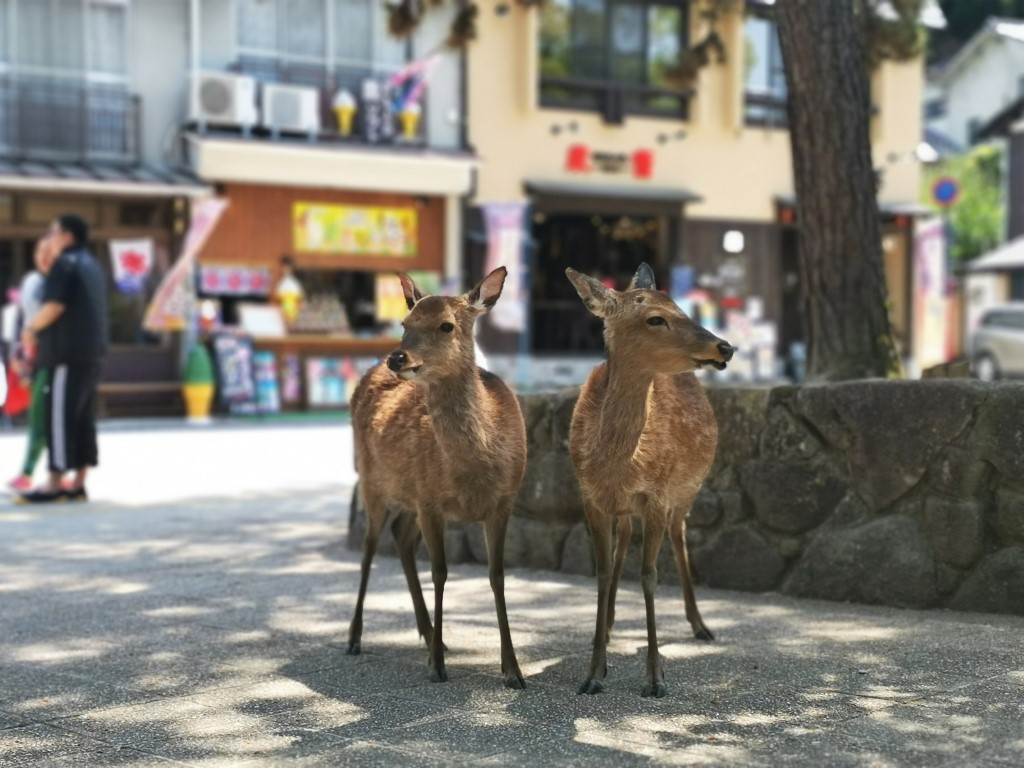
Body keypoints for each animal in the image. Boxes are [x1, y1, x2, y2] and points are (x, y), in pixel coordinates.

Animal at [348, 266, 528, 692]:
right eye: (405, 323)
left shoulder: (504, 501)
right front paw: (436, 668)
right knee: (368, 550)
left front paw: (513, 670)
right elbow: (441, 572)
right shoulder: (431, 500)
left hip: (408, 496)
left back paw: (433, 637)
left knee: (400, 537)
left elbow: (497, 575)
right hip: (372, 480)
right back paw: (356, 637)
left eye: (446, 325)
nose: (399, 357)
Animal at [565, 264, 733, 696]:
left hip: (687, 489)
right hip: (629, 509)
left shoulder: (657, 495)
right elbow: (603, 570)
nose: (725, 347)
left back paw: (701, 625)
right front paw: (593, 672)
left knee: (679, 536)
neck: (618, 465)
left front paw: (655, 677)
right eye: (655, 318)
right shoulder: (590, 497)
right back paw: (607, 628)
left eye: (681, 308)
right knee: (624, 544)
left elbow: (649, 576)